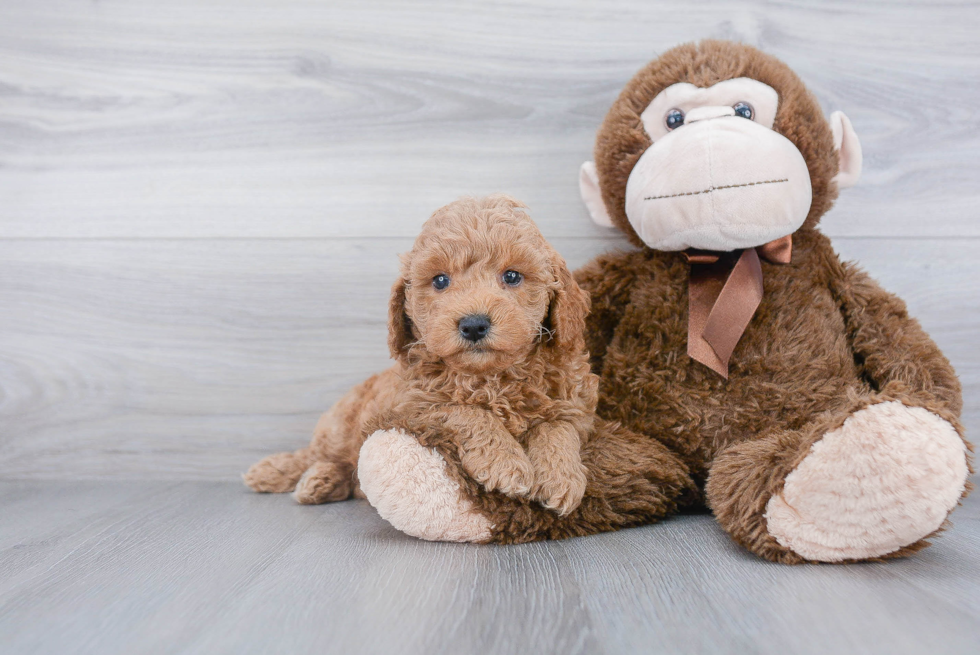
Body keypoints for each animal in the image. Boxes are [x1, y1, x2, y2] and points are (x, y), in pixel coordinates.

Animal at [245, 196, 596, 516]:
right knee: (319, 453)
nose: (473, 324)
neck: (490, 377)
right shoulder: (413, 408)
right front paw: (505, 462)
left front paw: (560, 477)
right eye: (440, 280)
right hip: (338, 425)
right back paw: (287, 472)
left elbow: (558, 428)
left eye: (512, 276)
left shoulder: (575, 407)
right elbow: (465, 411)